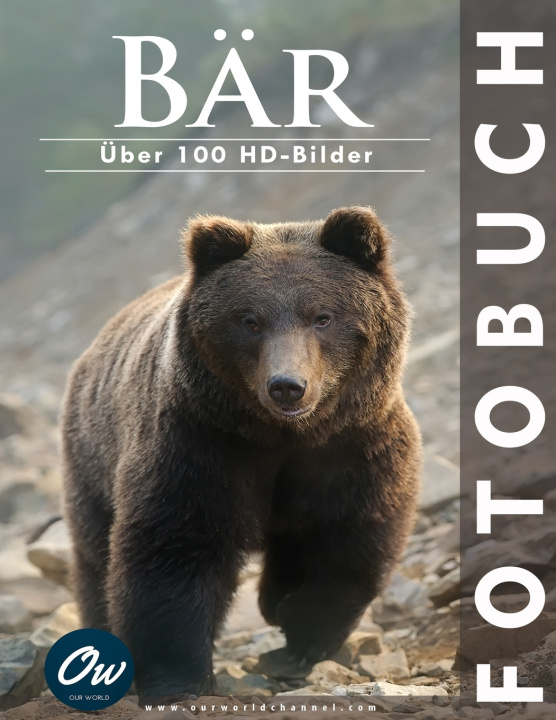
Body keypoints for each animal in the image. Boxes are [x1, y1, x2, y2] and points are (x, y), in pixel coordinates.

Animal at [61, 206, 421, 698]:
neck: (284, 434)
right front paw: (179, 678)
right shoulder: (201, 443)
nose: (287, 385)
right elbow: (175, 546)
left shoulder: (353, 445)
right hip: (92, 457)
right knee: (96, 556)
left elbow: (347, 536)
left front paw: (302, 630)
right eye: (250, 320)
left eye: (322, 316)